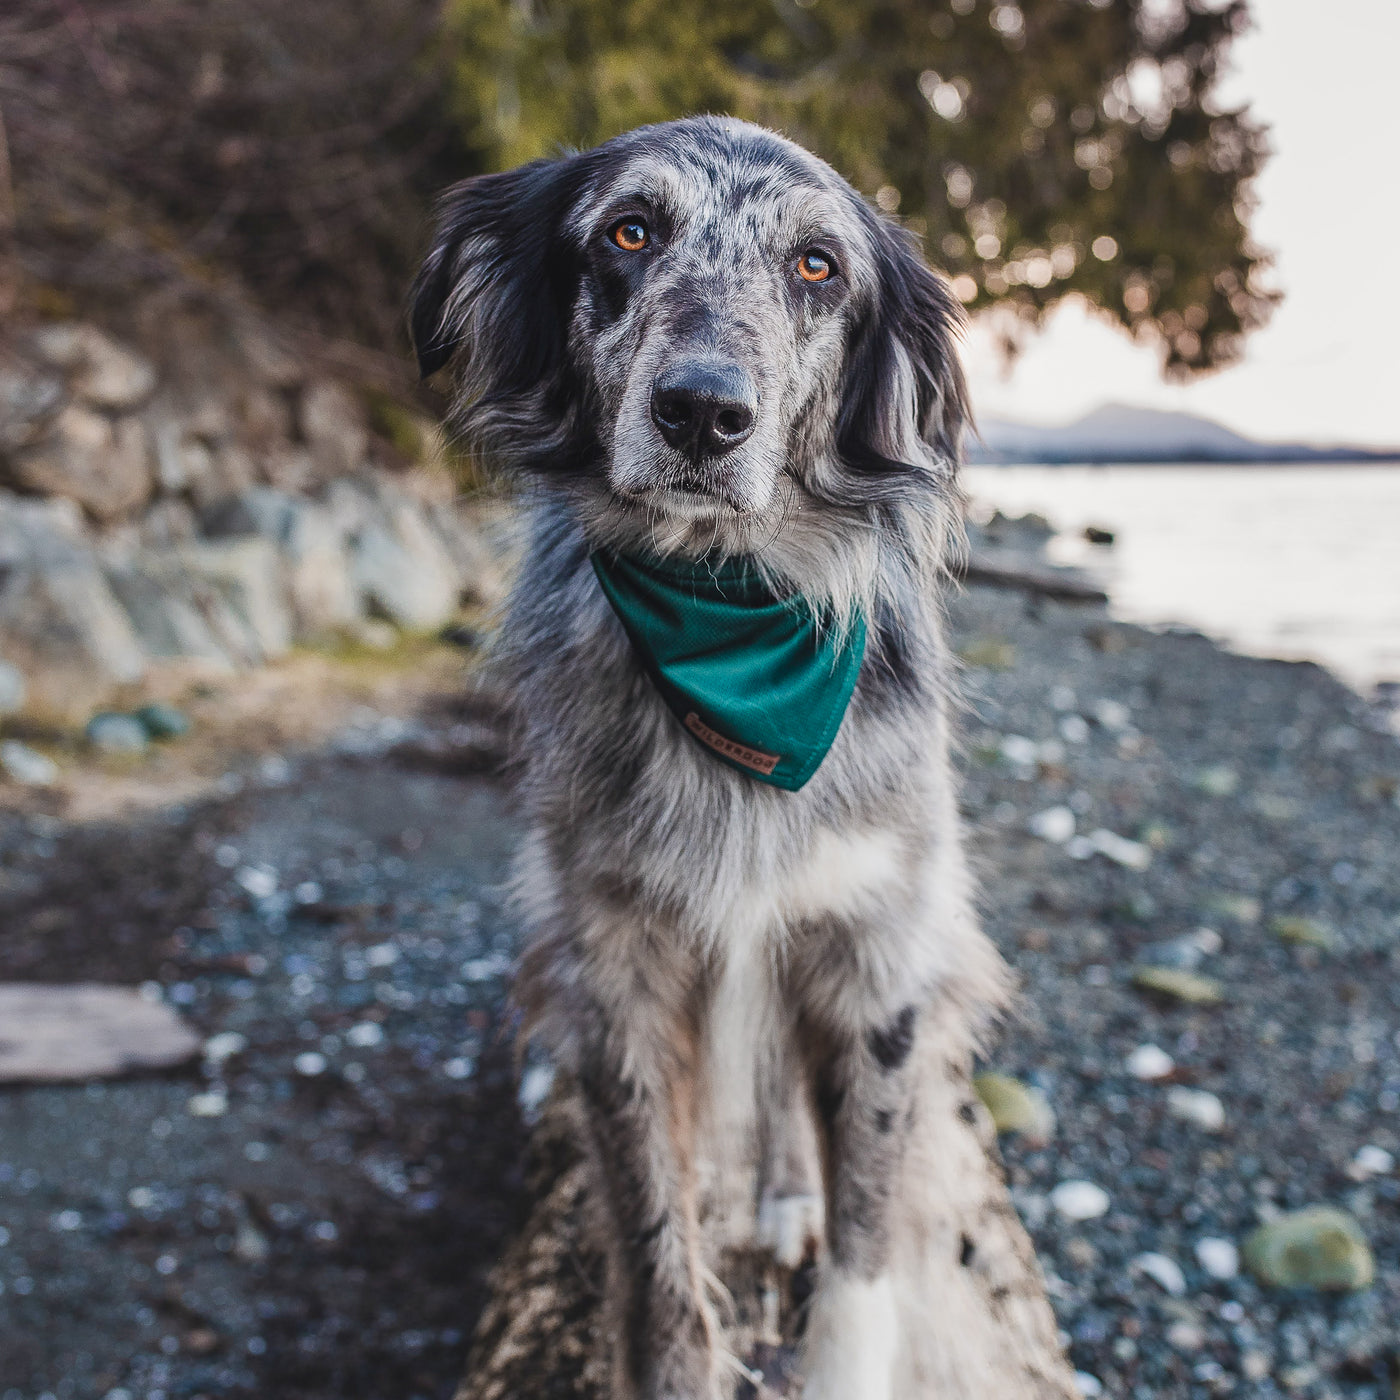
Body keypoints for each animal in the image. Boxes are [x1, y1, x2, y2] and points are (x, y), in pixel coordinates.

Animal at [408, 117, 1013, 1400]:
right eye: (629, 231)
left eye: (817, 266)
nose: (701, 411)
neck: (726, 618)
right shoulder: (613, 966)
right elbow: (656, 1249)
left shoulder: (872, 945)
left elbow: (864, 1242)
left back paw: (785, 1189)